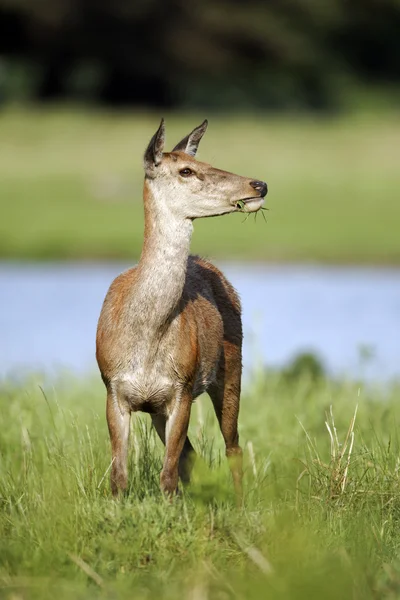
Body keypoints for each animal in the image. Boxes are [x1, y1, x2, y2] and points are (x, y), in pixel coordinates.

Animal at [95, 118, 268, 502]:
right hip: (161, 406)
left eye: (205, 161)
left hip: (232, 367)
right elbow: (119, 476)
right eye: (186, 170)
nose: (259, 184)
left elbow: (168, 475)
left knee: (232, 445)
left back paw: (240, 503)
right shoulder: (114, 388)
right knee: (193, 454)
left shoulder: (182, 387)